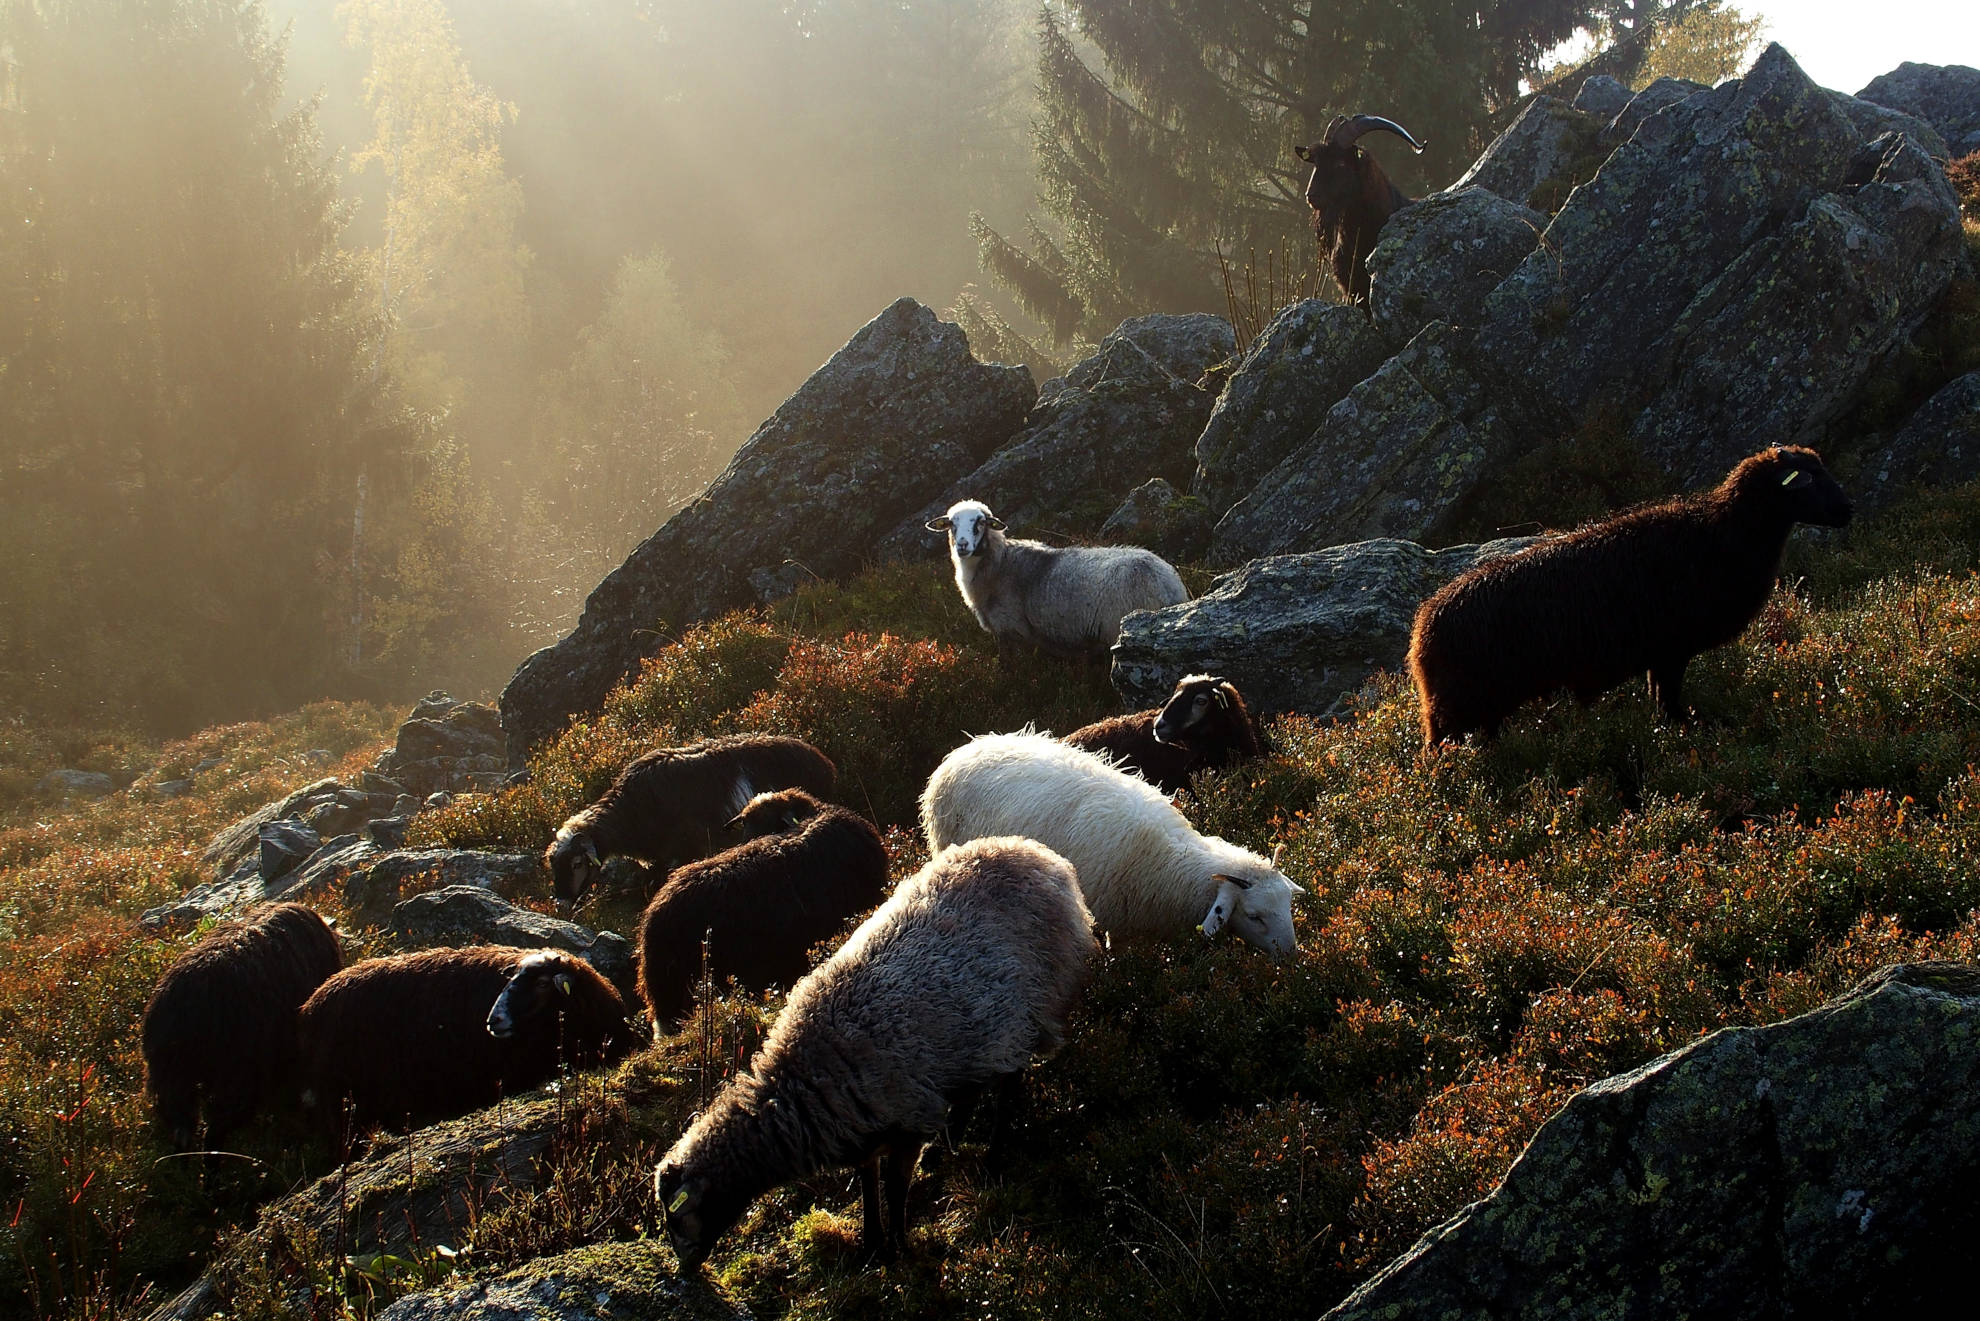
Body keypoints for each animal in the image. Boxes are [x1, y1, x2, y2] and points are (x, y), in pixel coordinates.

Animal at [546, 734, 836, 907]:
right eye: (553, 865)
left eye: (577, 863)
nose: (561, 902)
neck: (631, 810)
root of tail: (823, 761)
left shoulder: (692, 847)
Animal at [655, 836, 1096, 1268]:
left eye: (675, 1217)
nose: (686, 1271)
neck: (805, 1079)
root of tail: (1040, 856)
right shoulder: (863, 1125)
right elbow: (868, 1181)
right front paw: (872, 1241)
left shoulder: (908, 1120)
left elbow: (895, 1187)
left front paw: (899, 1245)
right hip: (977, 1040)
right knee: (976, 1086)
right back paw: (949, 1144)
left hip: (1033, 1012)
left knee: (1009, 1084)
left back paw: (994, 1153)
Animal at [920, 730, 1301, 959]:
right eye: (1254, 916)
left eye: (1287, 906)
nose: (1291, 955)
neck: (1170, 863)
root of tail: (968, 747)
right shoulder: (1113, 917)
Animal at [924, 500, 1188, 659]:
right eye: (951, 524)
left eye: (980, 522)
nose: (962, 545)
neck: (1001, 562)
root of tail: (1169, 584)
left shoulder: (1012, 630)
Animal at [1408, 446, 1855, 747]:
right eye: (1811, 478)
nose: (1848, 510)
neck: (1724, 533)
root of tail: (1422, 628)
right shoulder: (1672, 648)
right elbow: (1668, 699)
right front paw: (1683, 731)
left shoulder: (1663, 653)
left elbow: (1659, 697)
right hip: (1455, 705)